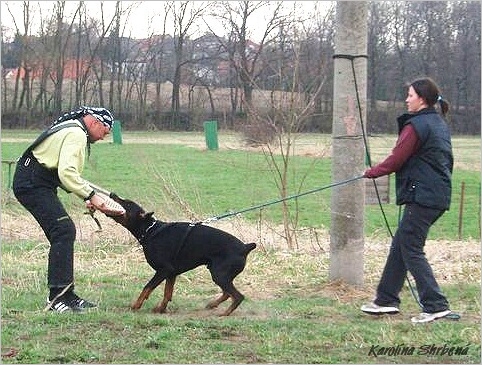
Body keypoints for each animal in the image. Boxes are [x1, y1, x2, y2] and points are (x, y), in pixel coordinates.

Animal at [105, 192, 256, 314]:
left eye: (126, 203)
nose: (112, 193)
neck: (150, 231)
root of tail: (245, 247)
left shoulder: (164, 269)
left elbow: (147, 288)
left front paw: (135, 306)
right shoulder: (172, 273)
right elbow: (167, 293)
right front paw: (161, 309)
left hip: (219, 274)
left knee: (237, 296)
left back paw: (224, 313)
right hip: (220, 274)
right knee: (227, 293)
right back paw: (212, 304)